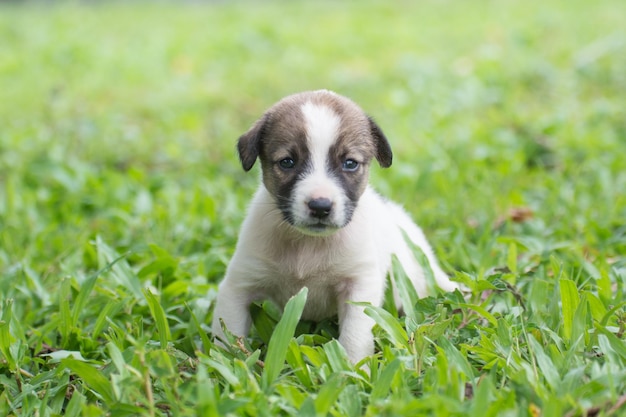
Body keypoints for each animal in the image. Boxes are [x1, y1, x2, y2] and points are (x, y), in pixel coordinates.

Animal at [210, 89, 454, 362]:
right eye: (287, 162)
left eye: (350, 163)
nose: (320, 206)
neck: (308, 245)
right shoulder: (238, 286)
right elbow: (227, 336)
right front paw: (224, 360)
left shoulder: (359, 286)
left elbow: (355, 336)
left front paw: (354, 367)